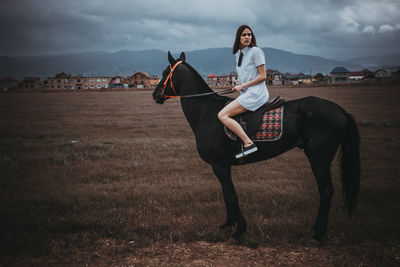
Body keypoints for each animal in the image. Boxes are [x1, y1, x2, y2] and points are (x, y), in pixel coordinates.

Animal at [152, 51, 360, 243]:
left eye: (164, 73)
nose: (155, 95)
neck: (207, 114)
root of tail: (339, 110)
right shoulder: (221, 165)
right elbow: (226, 193)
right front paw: (228, 224)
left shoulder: (219, 164)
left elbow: (231, 195)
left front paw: (239, 230)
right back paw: (316, 228)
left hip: (319, 158)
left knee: (326, 190)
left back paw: (318, 233)